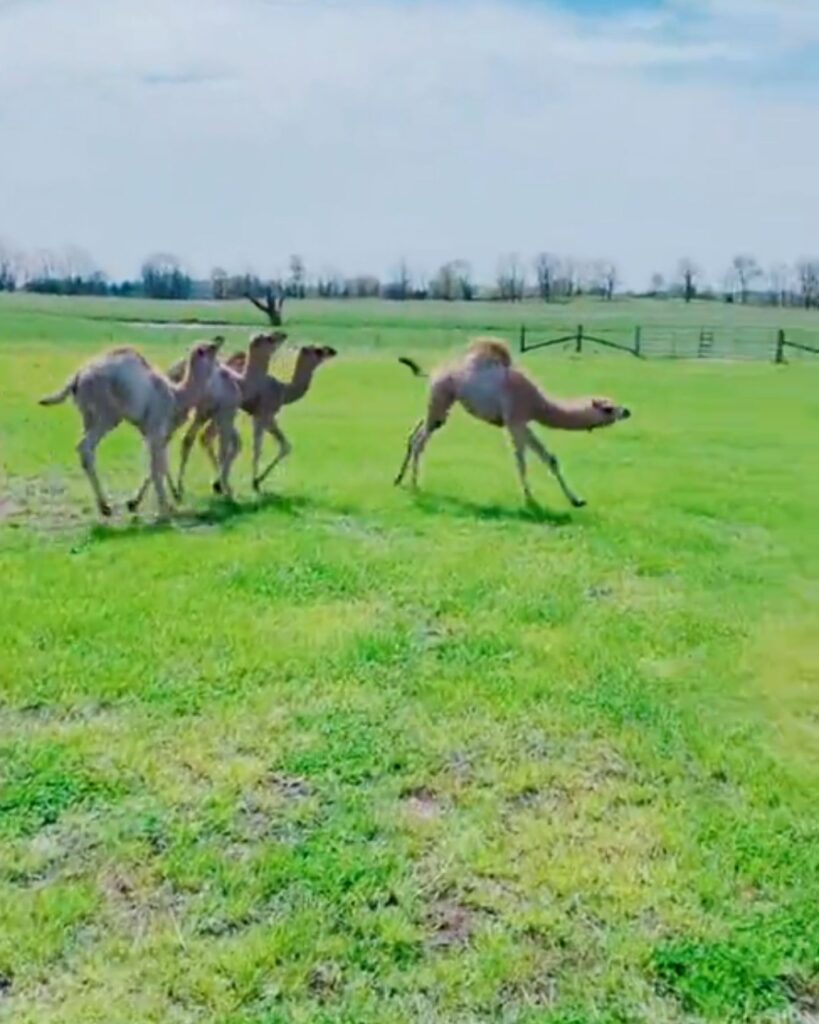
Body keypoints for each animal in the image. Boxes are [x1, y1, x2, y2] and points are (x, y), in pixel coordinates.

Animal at [39, 339, 221, 519]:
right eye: (210, 349)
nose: (219, 340)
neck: (177, 396)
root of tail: (77, 378)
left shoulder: (150, 432)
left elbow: (158, 464)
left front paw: (161, 502)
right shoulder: (156, 428)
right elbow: (156, 466)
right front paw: (164, 508)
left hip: (88, 417)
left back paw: (106, 506)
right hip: (106, 415)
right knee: (85, 447)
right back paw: (105, 507)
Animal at [394, 337, 631, 507]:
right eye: (608, 409)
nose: (627, 411)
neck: (537, 404)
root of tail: (432, 373)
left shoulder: (523, 422)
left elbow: (549, 458)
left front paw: (577, 500)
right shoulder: (514, 420)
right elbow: (521, 461)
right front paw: (530, 500)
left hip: (440, 404)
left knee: (416, 433)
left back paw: (399, 480)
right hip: (441, 397)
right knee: (421, 440)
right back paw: (415, 486)